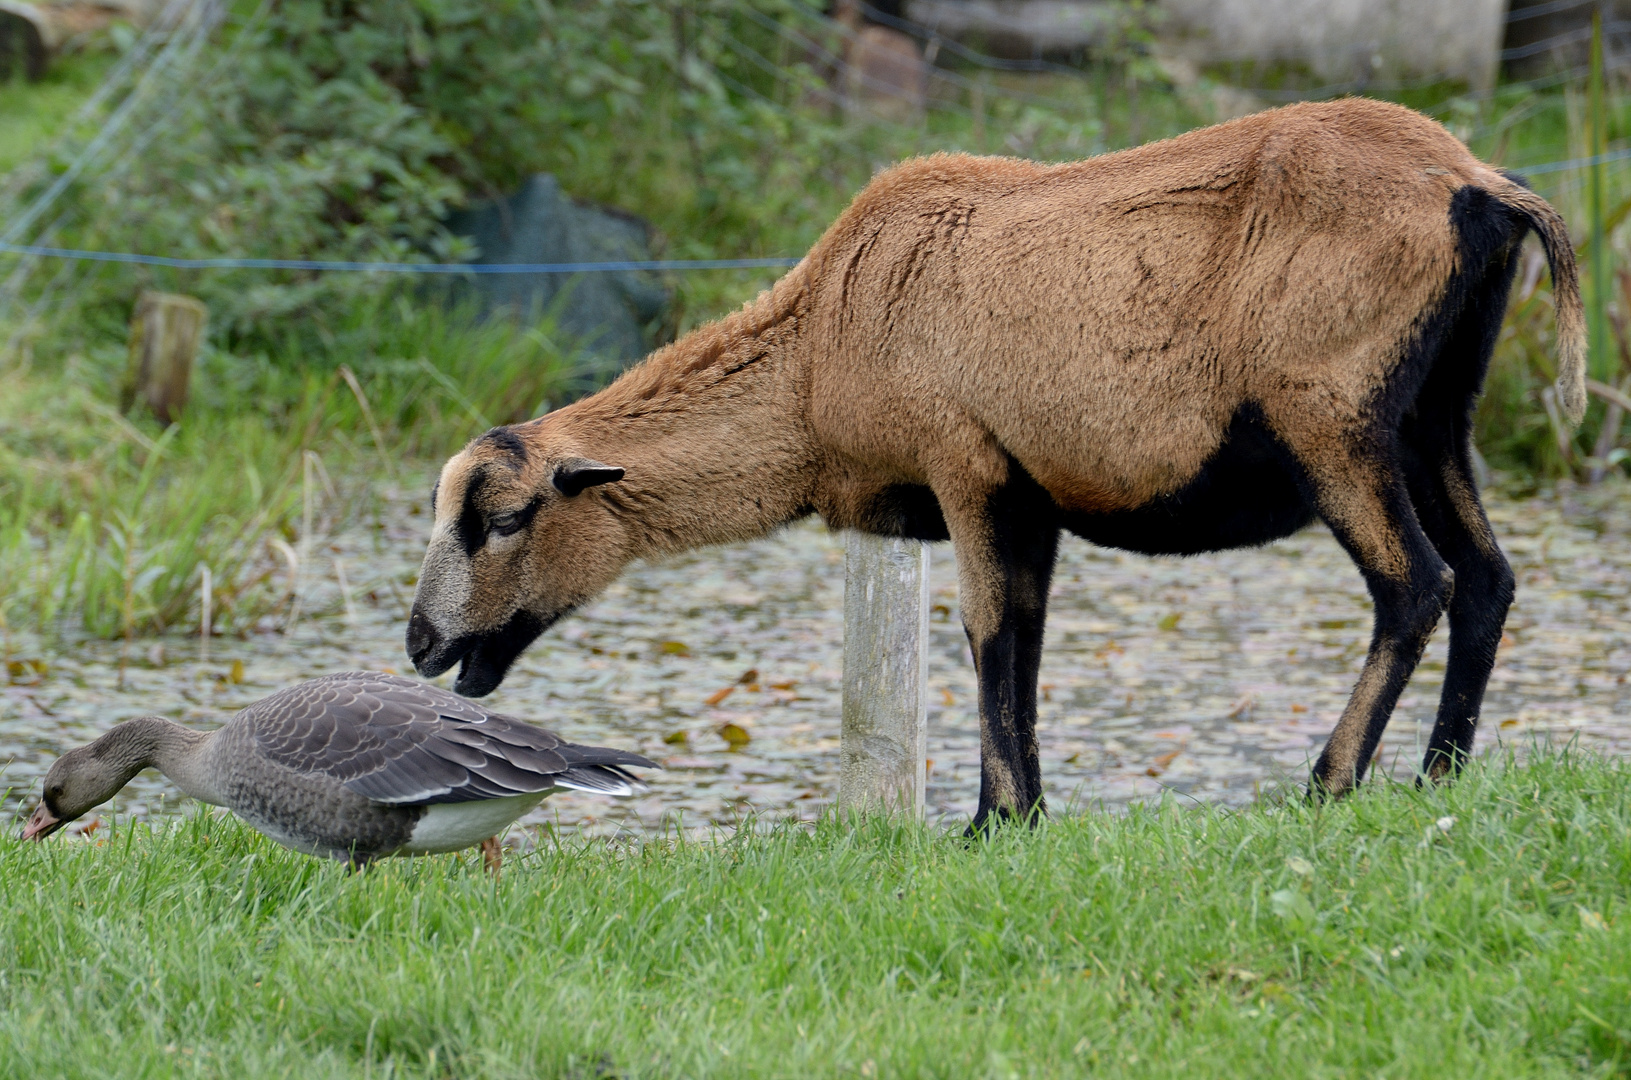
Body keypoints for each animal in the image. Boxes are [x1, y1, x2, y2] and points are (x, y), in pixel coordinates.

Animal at [404, 99, 1578, 828]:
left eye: (502, 520)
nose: (419, 645)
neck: (813, 355)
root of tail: (1477, 184)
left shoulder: (963, 463)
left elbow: (983, 630)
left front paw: (992, 819)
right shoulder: (1030, 496)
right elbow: (1025, 638)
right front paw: (1016, 810)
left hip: (1333, 416)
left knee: (1413, 585)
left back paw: (1329, 784)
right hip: (1435, 417)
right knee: (1487, 581)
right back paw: (1438, 780)